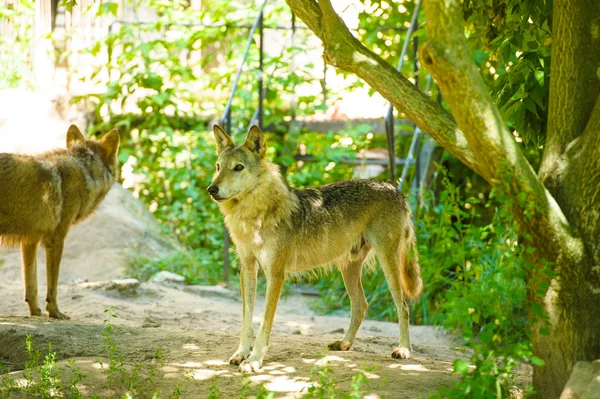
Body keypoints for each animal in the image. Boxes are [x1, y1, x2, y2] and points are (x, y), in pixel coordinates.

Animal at [0, 126, 119, 320]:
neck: (85, 171)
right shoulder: (55, 239)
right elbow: (52, 285)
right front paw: (55, 312)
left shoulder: (30, 240)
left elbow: (31, 285)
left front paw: (36, 312)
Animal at [209, 123, 424, 374]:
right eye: (218, 166)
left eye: (238, 168)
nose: (211, 189)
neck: (255, 216)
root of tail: (394, 189)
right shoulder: (248, 269)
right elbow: (246, 320)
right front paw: (242, 353)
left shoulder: (275, 274)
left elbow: (264, 324)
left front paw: (254, 360)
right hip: (348, 269)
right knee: (361, 305)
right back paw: (344, 344)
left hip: (388, 264)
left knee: (403, 307)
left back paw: (404, 350)